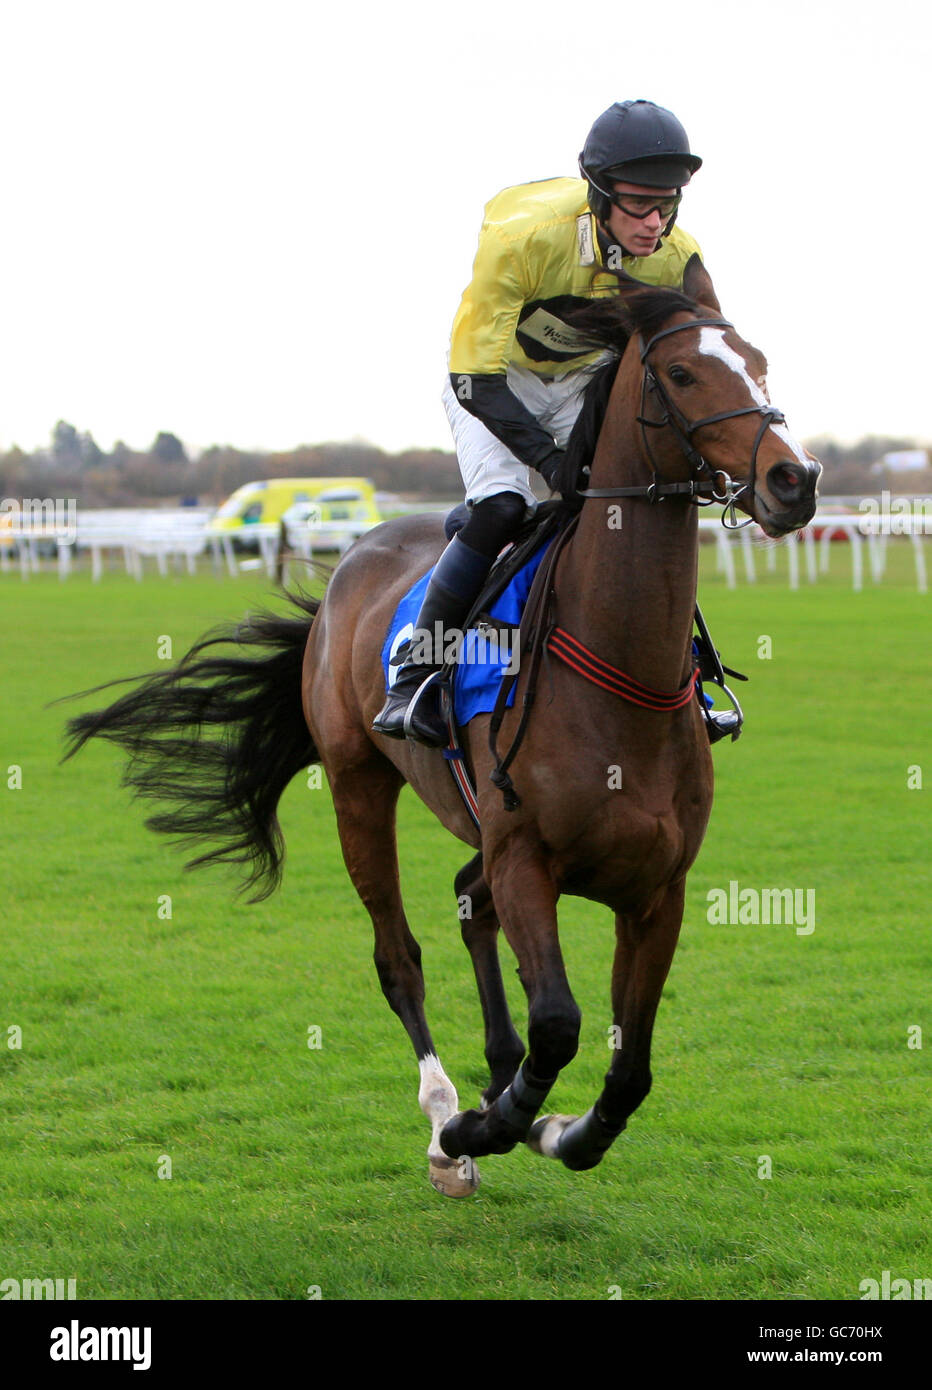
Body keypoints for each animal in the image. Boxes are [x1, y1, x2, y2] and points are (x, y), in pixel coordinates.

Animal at [65, 262, 822, 1195]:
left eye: (759, 362)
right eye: (682, 373)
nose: (795, 481)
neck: (623, 677)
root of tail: (350, 563)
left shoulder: (657, 886)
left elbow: (630, 1064)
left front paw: (555, 1128)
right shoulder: (526, 856)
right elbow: (560, 1022)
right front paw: (485, 1127)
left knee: (468, 901)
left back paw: (496, 1080)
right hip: (358, 786)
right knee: (400, 956)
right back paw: (445, 1119)